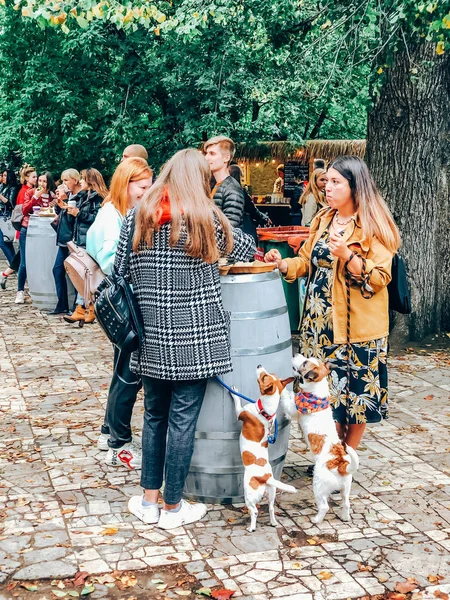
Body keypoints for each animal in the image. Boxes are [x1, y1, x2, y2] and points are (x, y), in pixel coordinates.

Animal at [230, 368, 298, 532]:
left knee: (254, 511)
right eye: (269, 374)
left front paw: (235, 392)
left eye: (263, 376)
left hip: (249, 495)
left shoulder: (240, 412)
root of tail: (265, 477)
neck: (266, 412)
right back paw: (273, 522)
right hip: (271, 493)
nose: (260, 365)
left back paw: (251, 527)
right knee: (271, 508)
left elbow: (237, 402)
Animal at [280, 354, 360, 524]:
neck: (316, 392)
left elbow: (287, 398)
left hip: (319, 485)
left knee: (324, 506)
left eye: (304, 363)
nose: (295, 354)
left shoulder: (293, 408)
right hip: (345, 489)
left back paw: (316, 519)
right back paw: (344, 517)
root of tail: (341, 465)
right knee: (346, 503)